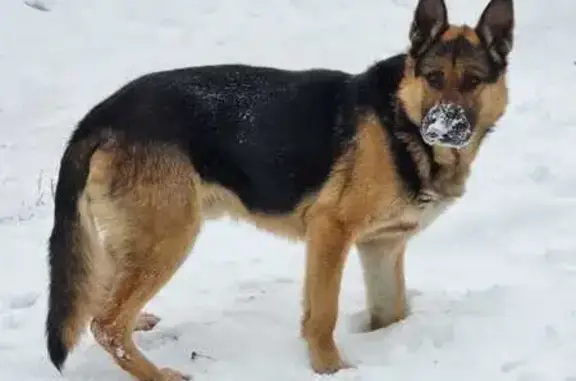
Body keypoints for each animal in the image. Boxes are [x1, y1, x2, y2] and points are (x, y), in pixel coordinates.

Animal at [45, 0, 512, 378]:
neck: (401, 123)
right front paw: (330, 369)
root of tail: (101, 115)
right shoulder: (330, 231)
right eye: (433, 78)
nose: (443, 128)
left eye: (473, 81)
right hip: (168, 238)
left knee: (101, 299)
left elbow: (391, 312)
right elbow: (322, 314)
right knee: (106, 325)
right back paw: (158, 374)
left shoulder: (383, 246)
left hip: (139, 240)